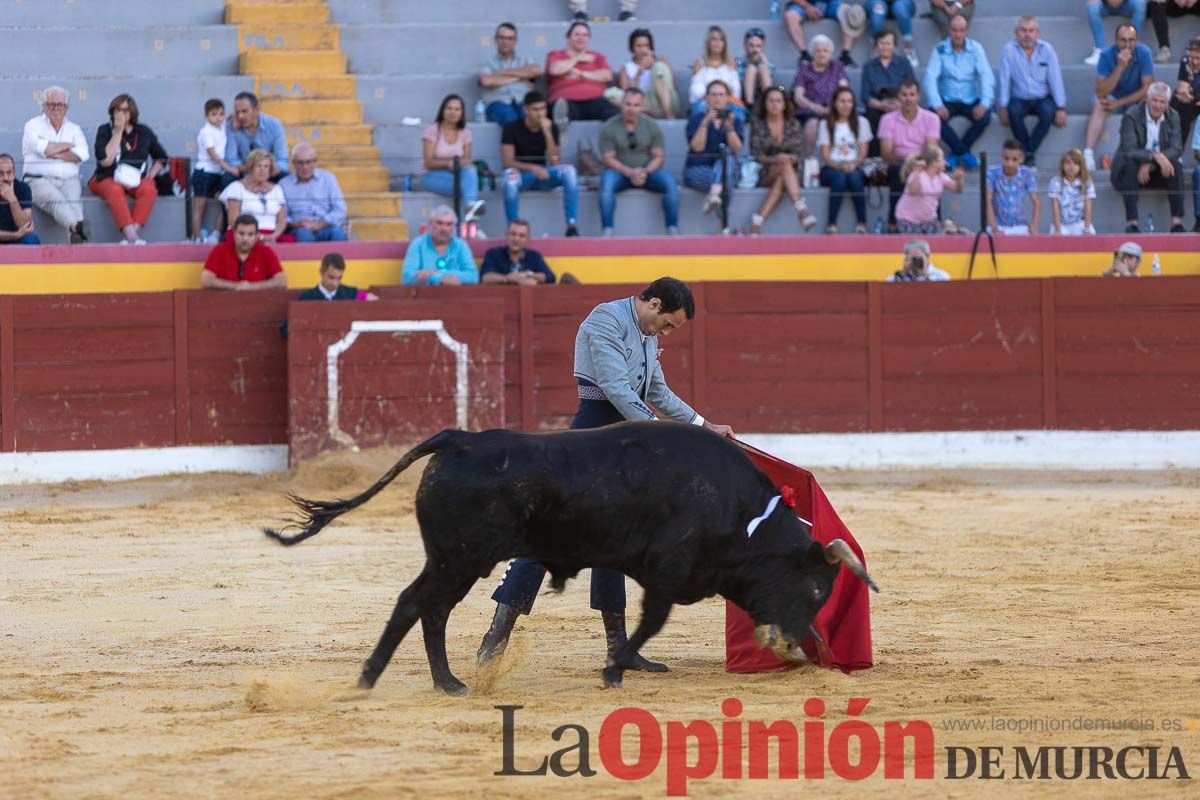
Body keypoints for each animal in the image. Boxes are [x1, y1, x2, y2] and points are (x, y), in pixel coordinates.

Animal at [265, 424, 883, 695]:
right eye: (815, 591)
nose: (800, 647)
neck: (743, 514)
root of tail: (458, 438)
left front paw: (621, 667)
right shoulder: (668, 574)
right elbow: (650, 623)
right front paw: (614, 671)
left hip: (452, 559)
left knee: (424, 608)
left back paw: (432, 679)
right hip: (458, 559)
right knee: (421, 605)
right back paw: (400, 678)